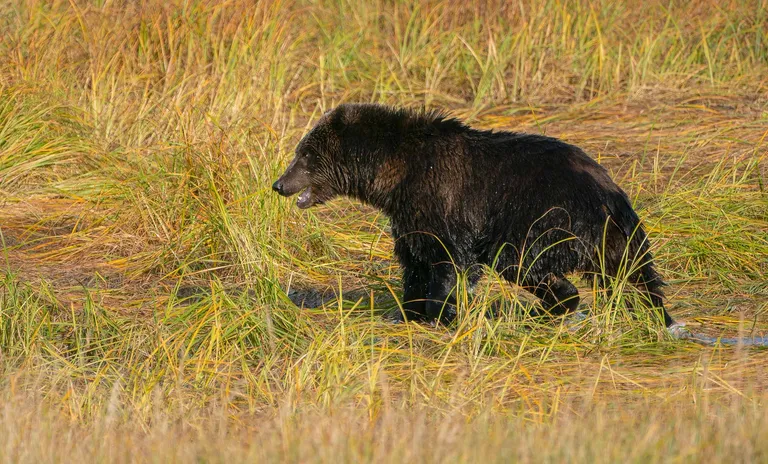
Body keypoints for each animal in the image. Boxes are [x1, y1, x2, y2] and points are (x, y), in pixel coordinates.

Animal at [273, 103, 675, 328]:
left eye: (305, 154)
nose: (279, 183)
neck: (394, 175)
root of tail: (613, 194)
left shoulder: (443, 197)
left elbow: (448, 258)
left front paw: (439, 312)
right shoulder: (409, 214)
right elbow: (414, 259)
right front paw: (406, 311)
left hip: (548, 218)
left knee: (522, 263)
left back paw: (549, 307)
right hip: (613, 237)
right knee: (637, 275)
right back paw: (657, 315)